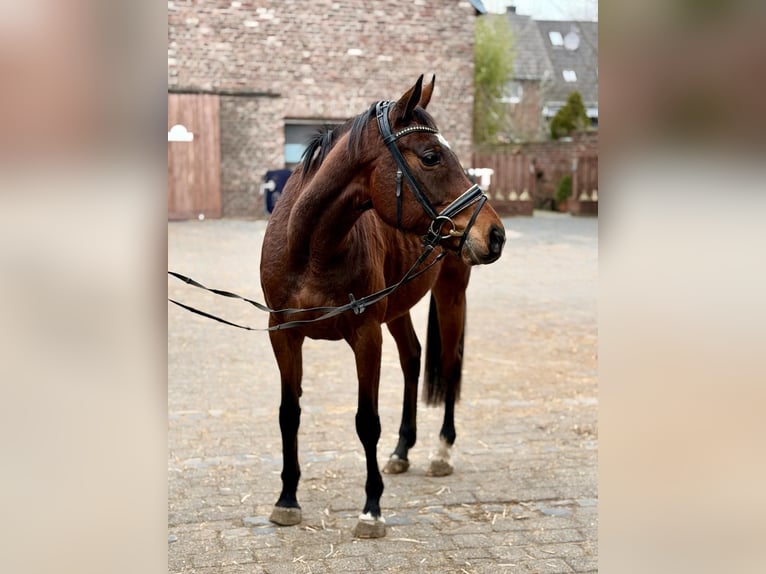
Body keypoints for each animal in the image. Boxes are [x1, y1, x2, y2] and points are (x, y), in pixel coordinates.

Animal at [259, 75, 505, 538]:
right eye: (430, 156)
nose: (495, 234)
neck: (311, 248)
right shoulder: (283, 336)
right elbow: (288, 414)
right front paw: (287, 499)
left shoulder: (365, 335)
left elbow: (366, 421)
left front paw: (371, 509)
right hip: (399, 307)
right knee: (412, 357)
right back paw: (402, 450)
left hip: (450, 294)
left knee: (448, 365)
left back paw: (440, 453)